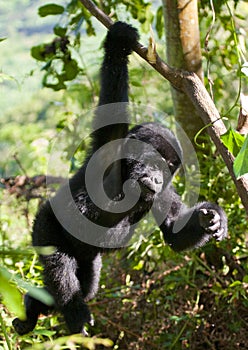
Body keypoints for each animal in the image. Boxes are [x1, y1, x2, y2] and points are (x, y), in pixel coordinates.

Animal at [12, 20, 228, 334]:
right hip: (45, 225)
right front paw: (118, 42)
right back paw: (73, 314)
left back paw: (32, 308)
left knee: (86, 284)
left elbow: (174, 231)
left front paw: (211, 218)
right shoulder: (109, 150)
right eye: (155, 161)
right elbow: (111, 107)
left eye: (169, 167)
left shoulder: (164, 195)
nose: (158, 178)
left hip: (88, 258)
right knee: (60, 268)